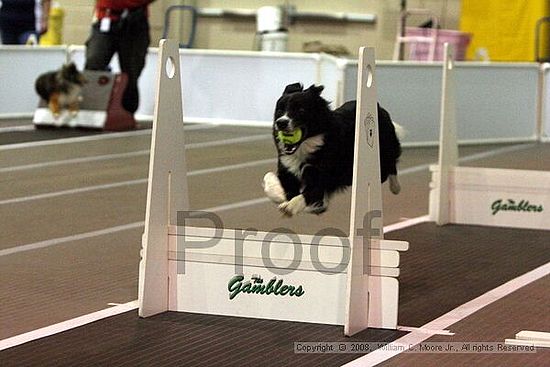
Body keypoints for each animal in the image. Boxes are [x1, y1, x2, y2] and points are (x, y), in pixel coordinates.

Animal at [266, 82, 404, 217]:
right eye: (280, 110)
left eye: (301, 110)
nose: (281, 122)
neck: (308, 146)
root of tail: (379, 107)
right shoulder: (287, 169)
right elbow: (272, 181)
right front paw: (277, 192)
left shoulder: (321, 176)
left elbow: (308, 193)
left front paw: (291, 206)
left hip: (384, 150)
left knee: (390, 166)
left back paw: (395, 187)